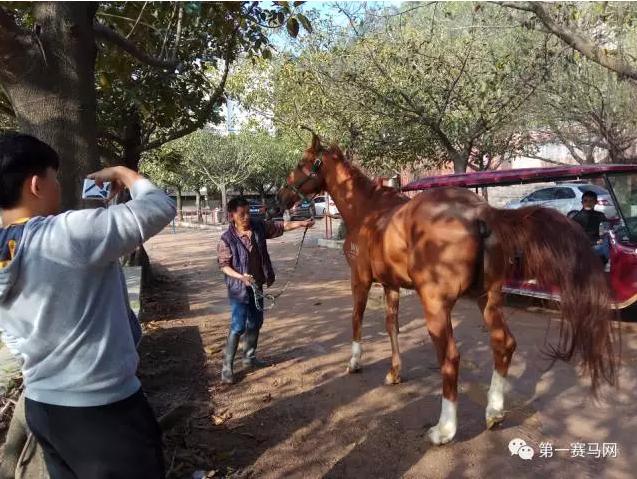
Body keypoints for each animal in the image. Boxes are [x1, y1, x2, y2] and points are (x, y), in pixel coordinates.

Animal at [278, 133, 616, 444]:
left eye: (301, 163)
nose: (280, 197)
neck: (368, 212)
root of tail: (481, 212)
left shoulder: (360, 280)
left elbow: (357, 320)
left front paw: (354, 362)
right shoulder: (391, 285)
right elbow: (391, 326)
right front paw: (394, 373)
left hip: (436, 305)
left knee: (450, 357)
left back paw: (445, 429)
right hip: (488, 298)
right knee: (503, 344)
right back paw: (494, 412)